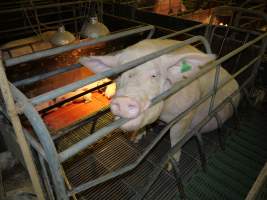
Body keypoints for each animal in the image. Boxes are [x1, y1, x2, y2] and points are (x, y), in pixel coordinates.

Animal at [80, 38, 241, 165]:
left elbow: (175, 137)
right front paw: (135, 139)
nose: (125, 101)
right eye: (121, 74)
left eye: (155, 75)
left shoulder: (186, 114)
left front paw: (171, 164)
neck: (164, 112)